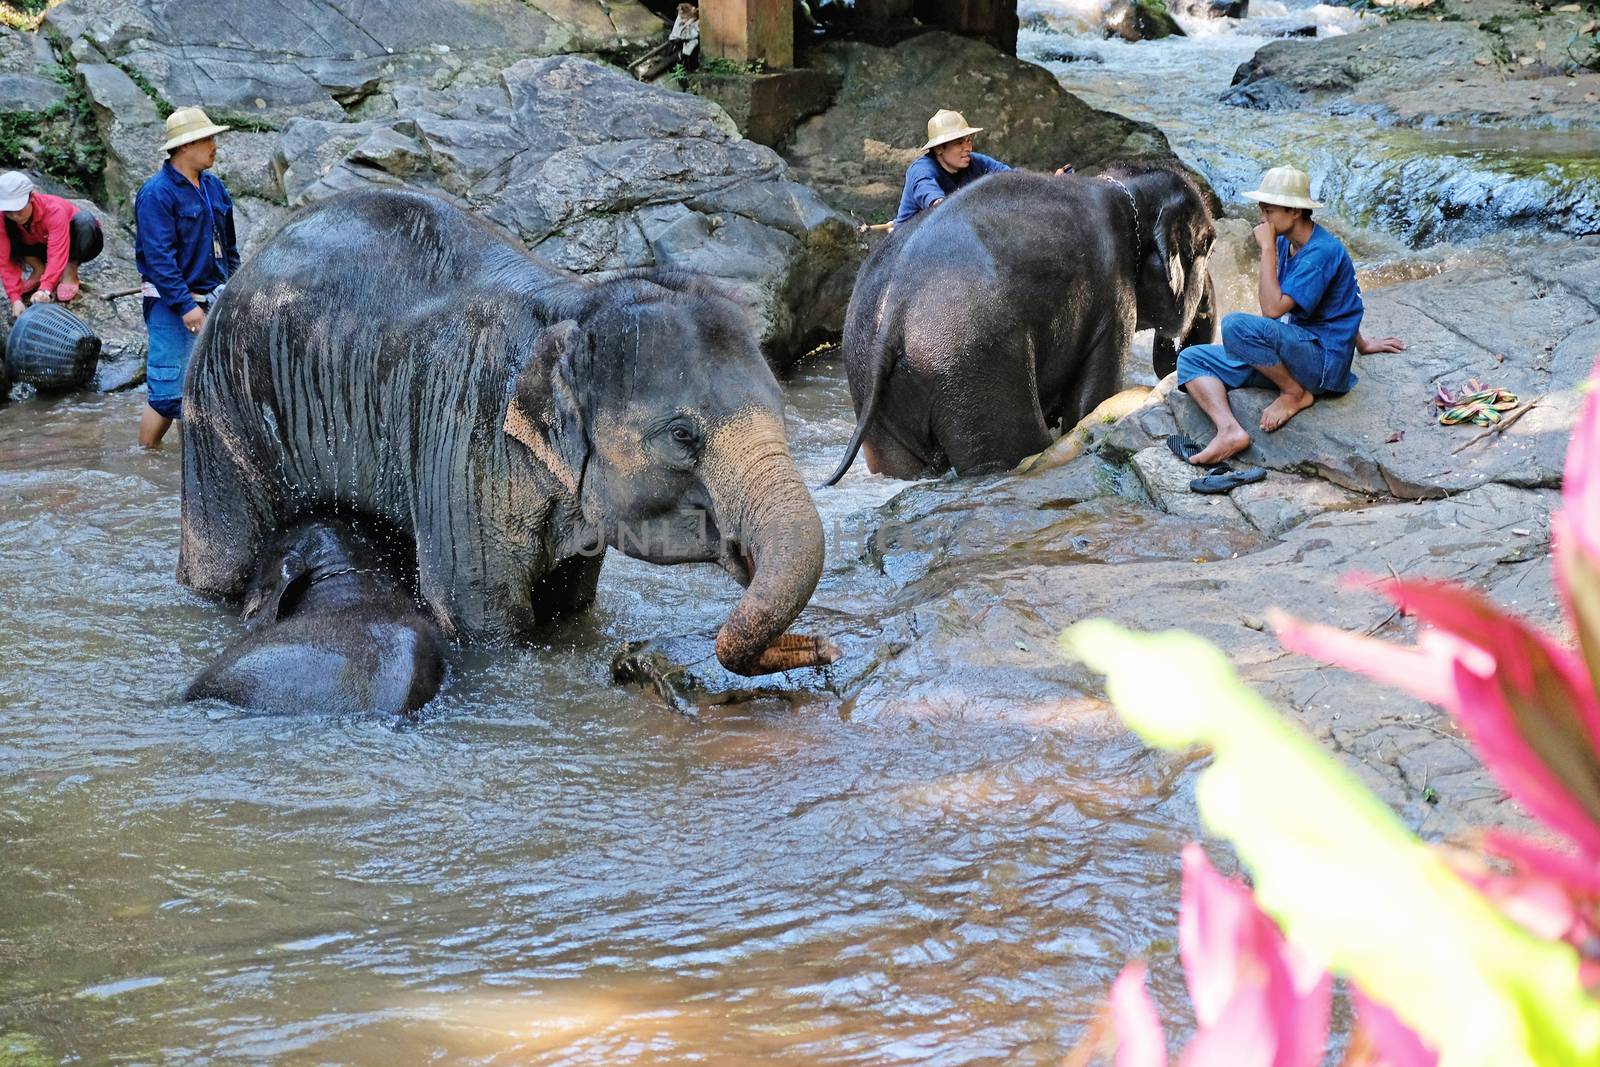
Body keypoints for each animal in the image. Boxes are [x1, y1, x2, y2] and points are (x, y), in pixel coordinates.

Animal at [181, 188, 838, 675]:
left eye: (782, 408)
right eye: (682, 436)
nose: (820, 646)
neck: (575, 303)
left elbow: (570, 600)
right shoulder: (463, 442)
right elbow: (479, 614)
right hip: (221, 409)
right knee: (223, 564)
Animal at [825, 163, 1209, 483]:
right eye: (1208, 246)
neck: (1123, 186)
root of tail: (893, 307)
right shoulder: (1113, 293)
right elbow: (1092, 401)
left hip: (868, 376)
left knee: (899, 464)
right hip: (973, 362)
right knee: (1012, 447)